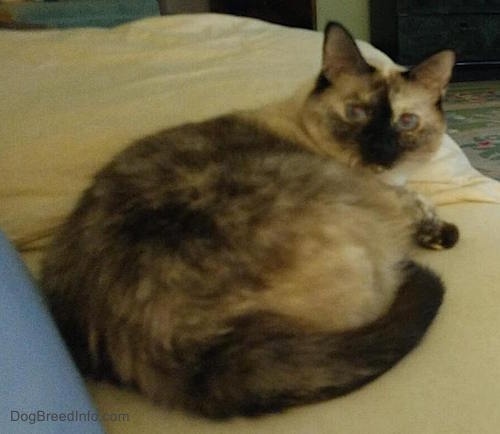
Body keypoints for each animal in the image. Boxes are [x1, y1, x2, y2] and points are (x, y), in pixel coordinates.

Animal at [42, 22, 458, 418]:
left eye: (406, 123)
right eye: (356, 113)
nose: (381, 152)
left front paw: (436, 228)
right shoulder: (384, 197)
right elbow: (416, 202)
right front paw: (436, 228)